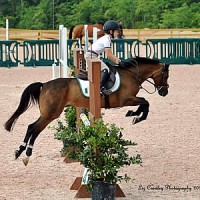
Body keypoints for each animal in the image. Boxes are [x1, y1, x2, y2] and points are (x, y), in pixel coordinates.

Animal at [3, 56, 170, 166]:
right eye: (166, 75)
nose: (164, 92)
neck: (131, 74)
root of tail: (44, 85)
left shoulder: (130, 99)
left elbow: (145, 103)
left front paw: (133, 115)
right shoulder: (126, 100)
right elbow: (145, 103)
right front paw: (136, 116)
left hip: (49, 114)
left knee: (33, 128)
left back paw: (21, 152)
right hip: (50, 114)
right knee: (33, 128)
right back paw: (25, 154)